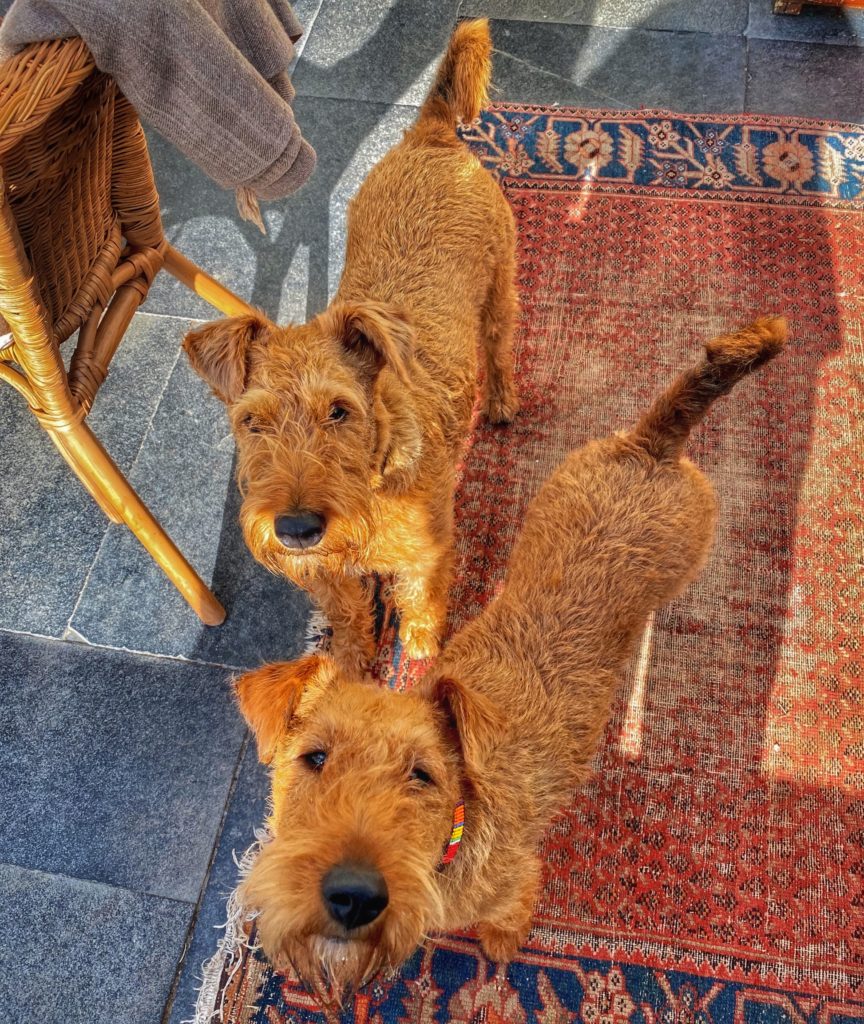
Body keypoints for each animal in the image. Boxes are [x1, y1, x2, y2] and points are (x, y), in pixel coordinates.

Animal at [183, 19, 515, 671]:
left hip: (499, 288)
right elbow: (348, 615)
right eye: (251, 422)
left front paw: (419, 654)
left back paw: (501, 404)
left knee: (499, 350)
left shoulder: (426, 557)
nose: (295, 528)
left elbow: (421, 609)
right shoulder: (329, 572)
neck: (376, 476)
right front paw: (352, 661)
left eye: (339, 411)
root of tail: (430, 136)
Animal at [232, 313, 786, 999]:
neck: (454, 832)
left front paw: (499, 947)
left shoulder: (519, 881)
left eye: (422, 775)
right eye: (313, 758)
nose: (352, 896)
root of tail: (650, 448)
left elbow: (505, 921)